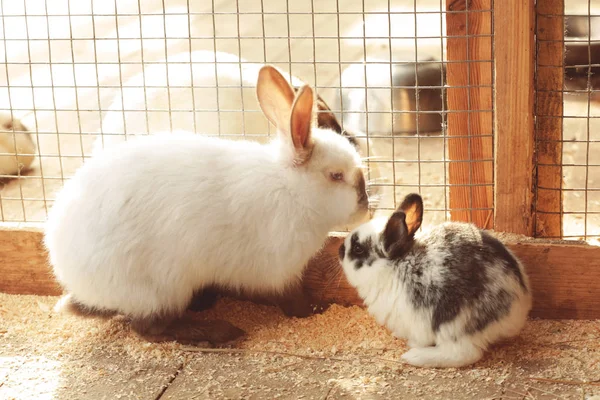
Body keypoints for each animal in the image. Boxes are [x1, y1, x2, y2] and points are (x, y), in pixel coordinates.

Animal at [44, 65, 368, 344]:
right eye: (336, 176)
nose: (365, 204)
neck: (290, 189)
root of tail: (76, 281)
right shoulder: (278, 271)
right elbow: (293, 301)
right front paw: (316, 310)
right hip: (161, 290)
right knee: (148, 328)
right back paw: (218, 332)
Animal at [340, 194, 532, 368]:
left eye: (358, 249)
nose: (340, 250)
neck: (395, 266)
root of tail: (518, 307)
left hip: (453, 324)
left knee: (465, 354)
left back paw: (414, 356)